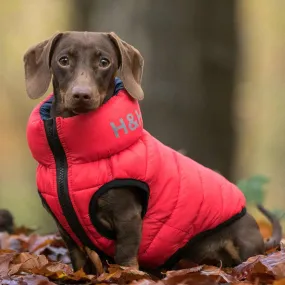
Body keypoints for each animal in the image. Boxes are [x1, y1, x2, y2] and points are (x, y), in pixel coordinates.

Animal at [23, 31, 280, 272]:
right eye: (63, 60)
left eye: (104, 61)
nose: (81, 94)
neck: (66, 156)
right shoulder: (67, 232)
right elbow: (79, 263)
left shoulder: (128, 218)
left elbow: (125, 260)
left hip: (241, 242)